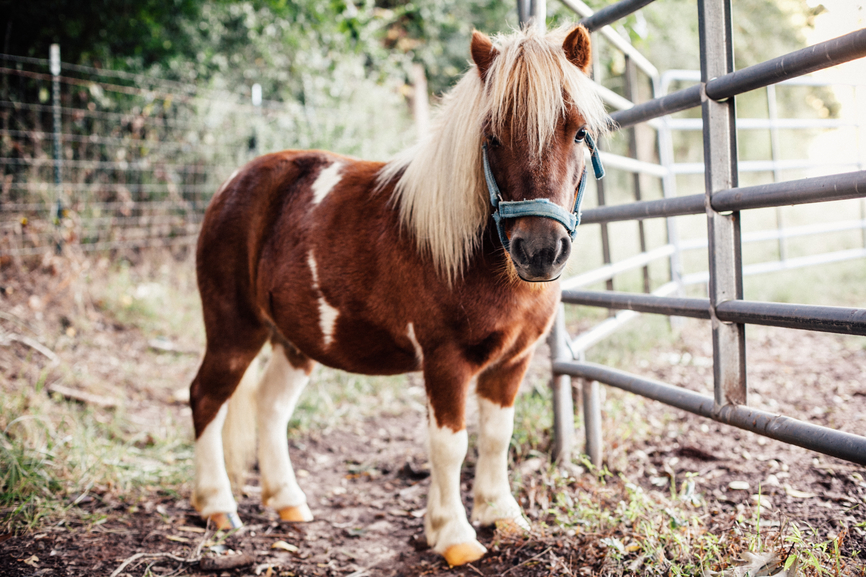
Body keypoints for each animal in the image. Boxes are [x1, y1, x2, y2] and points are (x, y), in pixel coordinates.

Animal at [189, 24, 608, 564]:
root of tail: (233, 184)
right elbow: (450, 444)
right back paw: (217, 506)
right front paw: (454, 536)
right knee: (206, 398)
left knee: (271, 406)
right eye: (491, 137)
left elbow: (496, 435)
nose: (539, 251)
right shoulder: (445, 362)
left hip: (294, 342)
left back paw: (286, 501)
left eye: (578, 131)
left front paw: (501, 515)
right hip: (233, 330)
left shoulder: (513, 361)